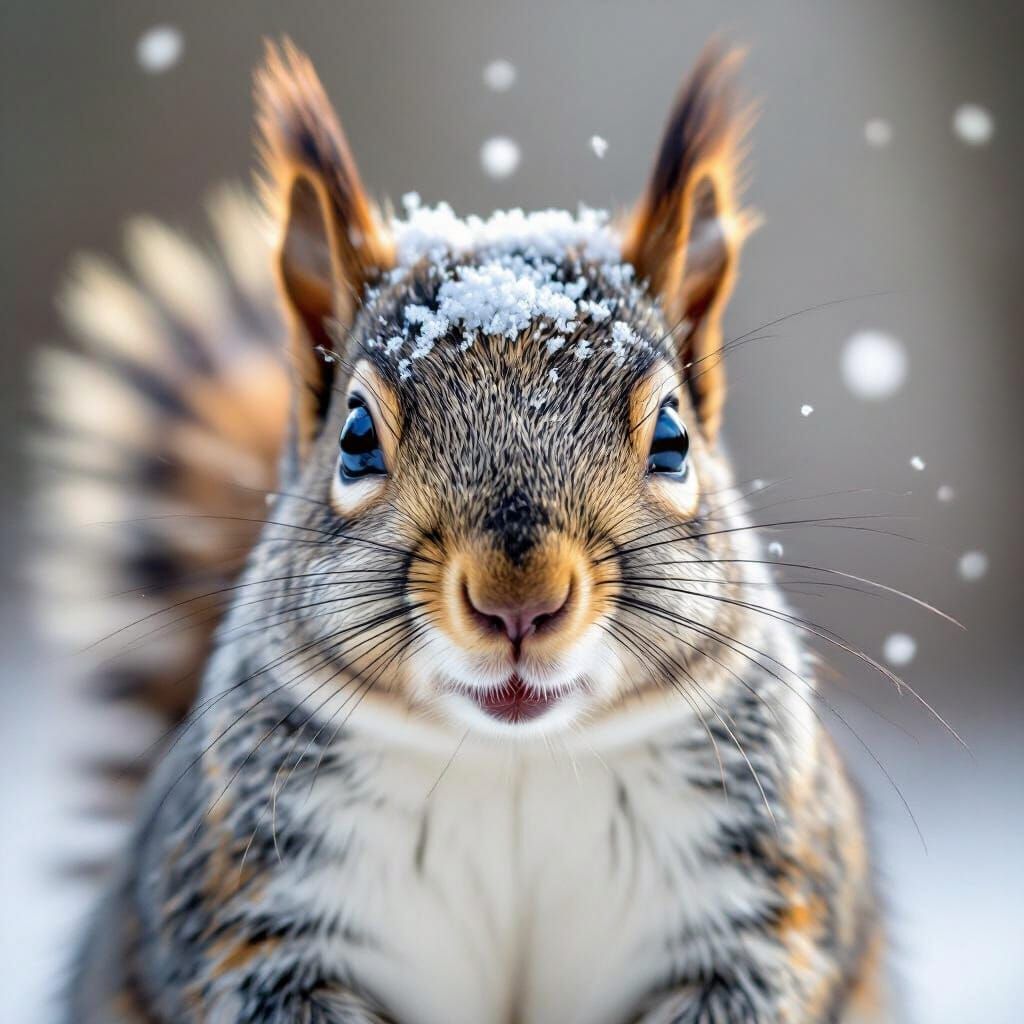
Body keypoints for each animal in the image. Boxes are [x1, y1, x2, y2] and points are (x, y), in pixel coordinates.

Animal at [35, 40, 892, 1024]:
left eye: (674, 439)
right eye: (356, 438)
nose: (520, 602)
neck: (512, 762)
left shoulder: (754, 908)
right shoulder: (255, 915)